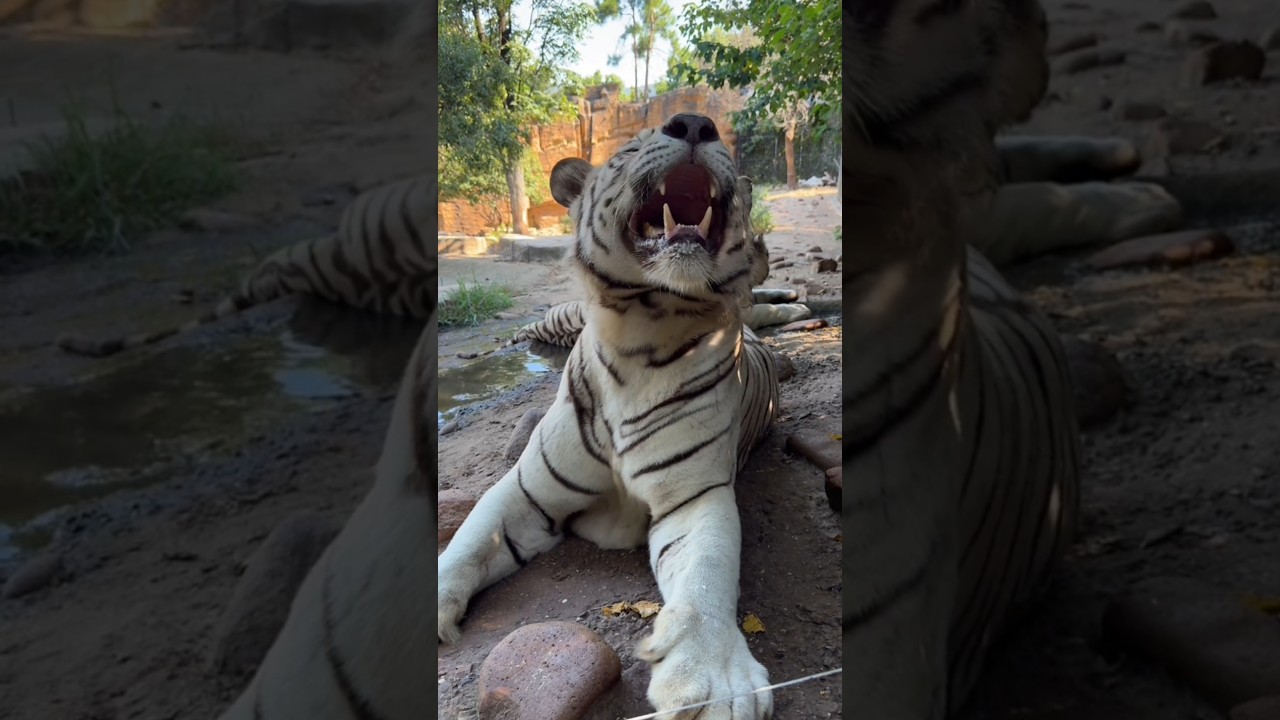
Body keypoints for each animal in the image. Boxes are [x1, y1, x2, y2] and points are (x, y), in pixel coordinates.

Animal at [438, 113, 781, 719]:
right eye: (629, 146)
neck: (643, 328)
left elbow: (707, 573)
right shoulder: (525, 490)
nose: (696, 121)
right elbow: (470, 540)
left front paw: (714, 680)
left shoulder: (694, 496)